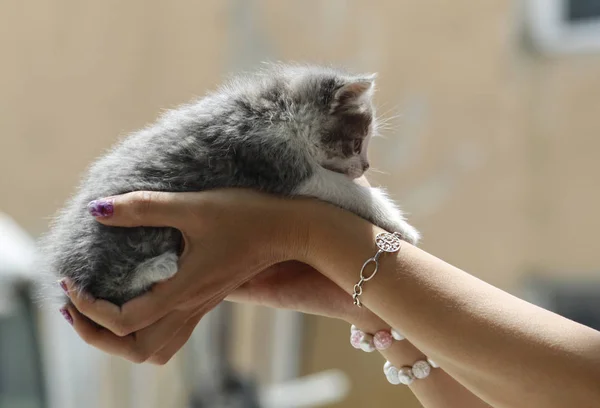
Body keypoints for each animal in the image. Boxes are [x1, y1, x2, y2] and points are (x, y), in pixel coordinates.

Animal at [39, 63, 420, 304]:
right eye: (356, 143)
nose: (365, 165)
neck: (281, 111)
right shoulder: (274, 159)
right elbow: (346, 190)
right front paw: (398, 222)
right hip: (130, 232)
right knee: (104, 287)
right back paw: (158, 268)